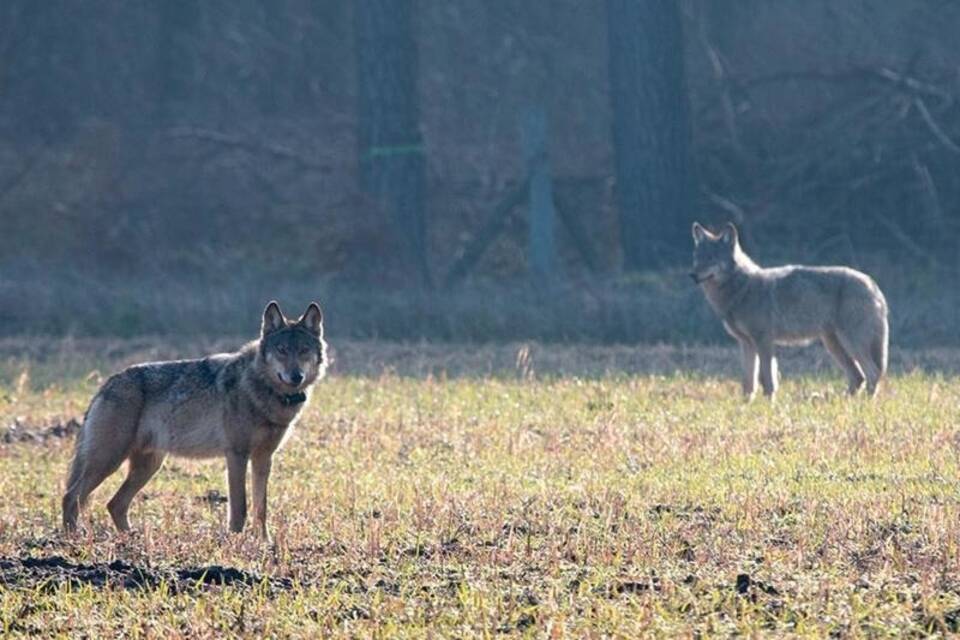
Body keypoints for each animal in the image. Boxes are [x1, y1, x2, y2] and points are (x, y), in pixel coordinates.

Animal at [63, 300, 328, 536]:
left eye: (303, 351)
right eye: (282, 350)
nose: (296, 376)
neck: (264, 390)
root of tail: (107, 383)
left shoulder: (263, 458)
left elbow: (261, 508)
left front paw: (264, 543)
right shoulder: (236, 455)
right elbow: (240, 508)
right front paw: (235, 542)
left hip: (148, 466)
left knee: (114, 504)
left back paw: (130, 538)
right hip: (108, 461)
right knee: (71, 497)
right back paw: (72, 539)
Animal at [688, 222, 892, 398]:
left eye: (711, 259)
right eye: (697, 258)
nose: (692, 275)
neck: (741, 288)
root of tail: (872, 283)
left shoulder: (764, 341)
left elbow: (768, 381)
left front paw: (768, 406)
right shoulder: (747, 344)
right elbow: (748, 384)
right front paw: (745, 407)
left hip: (851, 342)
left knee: (872, 373)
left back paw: (865, 404)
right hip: (833, 344)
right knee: (858, 377)